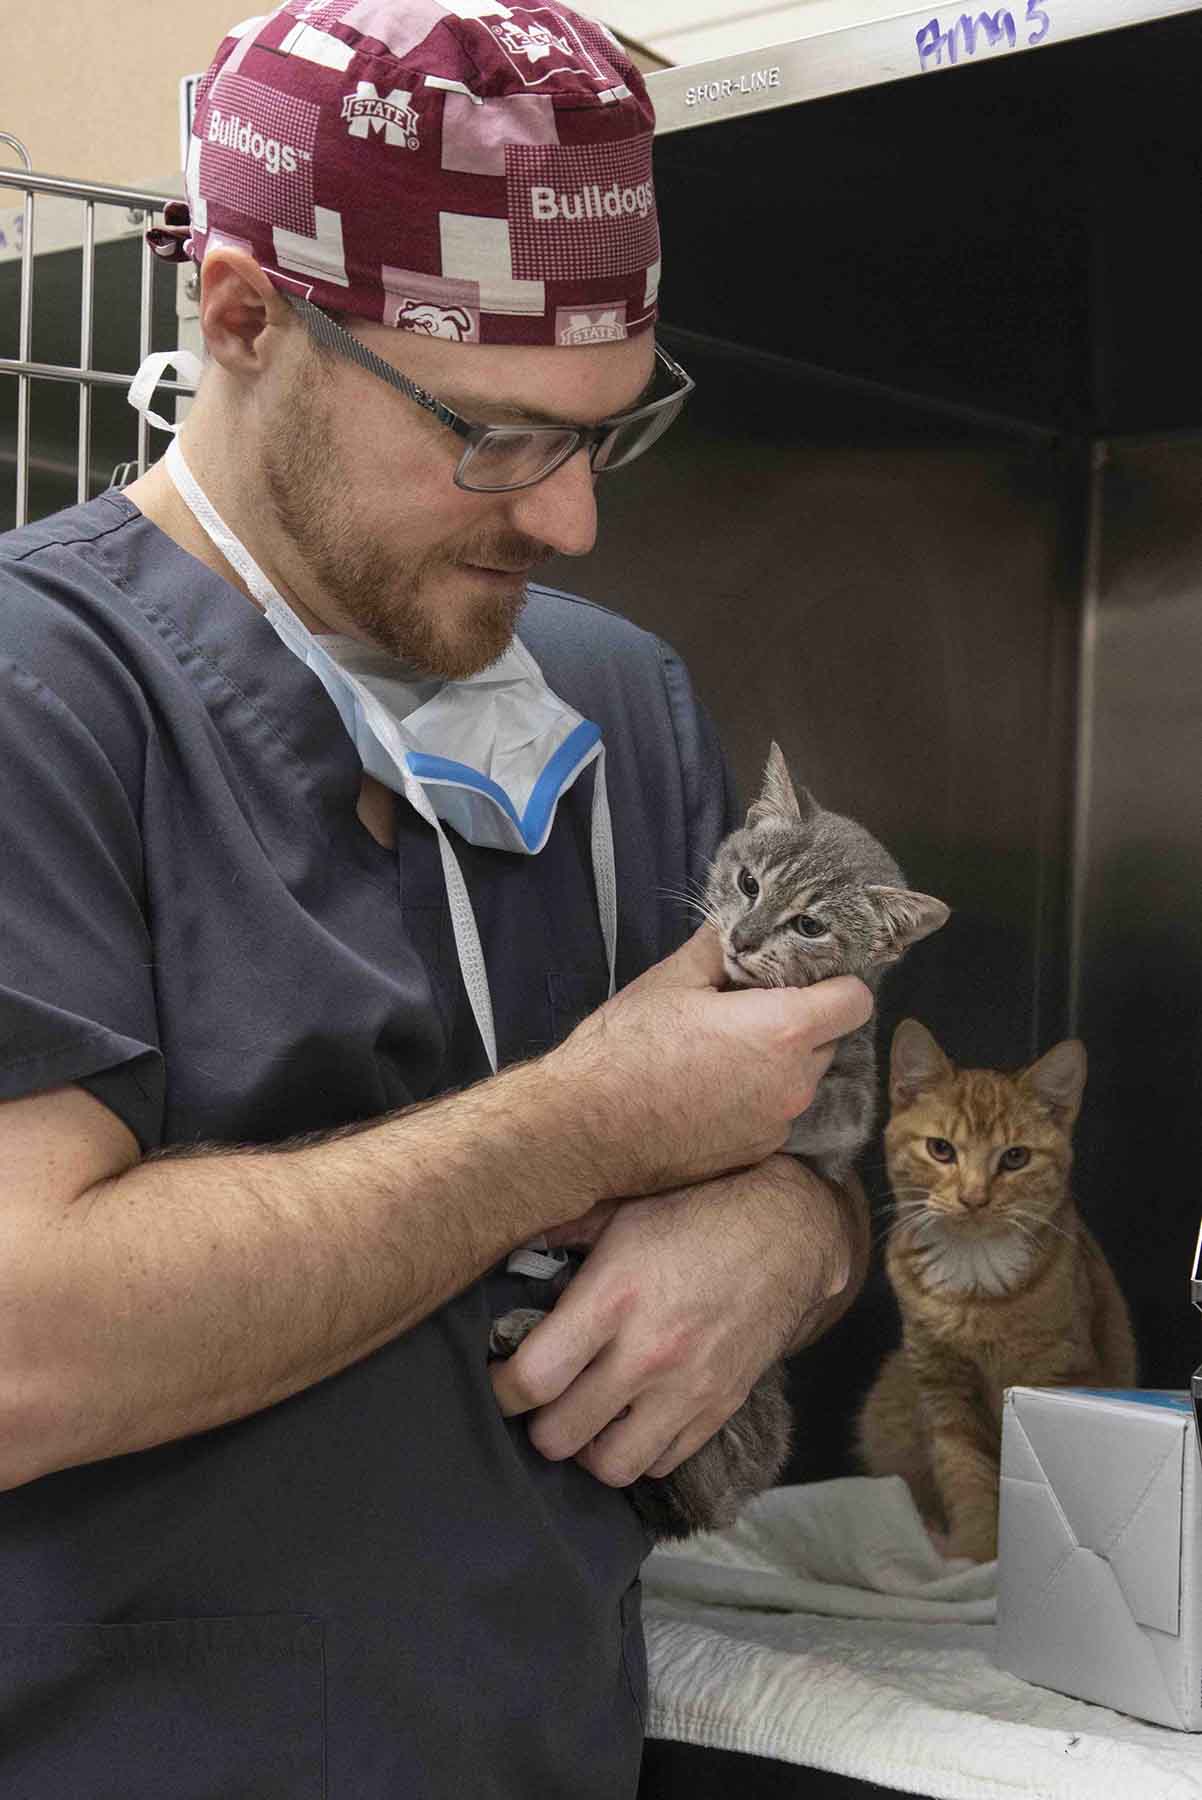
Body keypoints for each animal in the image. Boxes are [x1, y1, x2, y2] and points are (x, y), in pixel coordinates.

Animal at [852, 1029, 1137, 1562]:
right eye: (941, 1149)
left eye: (1015, 1157)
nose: (974, 1198)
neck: (974, 1281)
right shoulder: (943, 1389)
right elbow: (966, 1476)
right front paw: (977, 1555)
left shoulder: (1055, 1375)